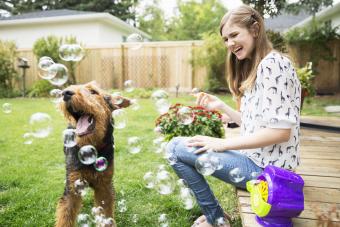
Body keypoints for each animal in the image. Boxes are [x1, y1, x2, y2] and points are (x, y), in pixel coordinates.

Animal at [55, 81, 130, 227]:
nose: (65, 93)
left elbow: (106, 214)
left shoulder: (104, 186)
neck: (90, 149)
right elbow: (65, 216)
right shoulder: (73, 188)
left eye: (93, 92)